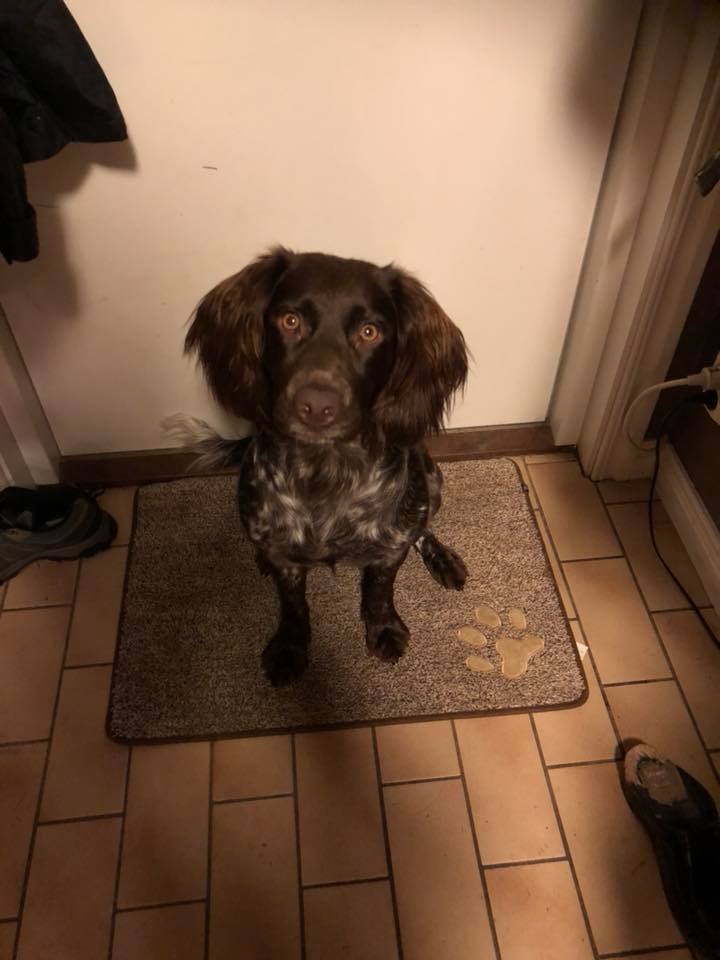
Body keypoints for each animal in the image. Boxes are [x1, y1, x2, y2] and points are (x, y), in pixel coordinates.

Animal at [180, 247, 469, 685]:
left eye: (369, 332)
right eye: (290, 320)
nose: (316, 406)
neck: (327, 471)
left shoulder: (390, 549)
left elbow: (381, 591)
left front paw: (384, 629)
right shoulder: (283, 554)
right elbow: (293, 605)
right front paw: (290, 646)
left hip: (432, 479)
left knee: (424, 526)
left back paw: (442, 557)